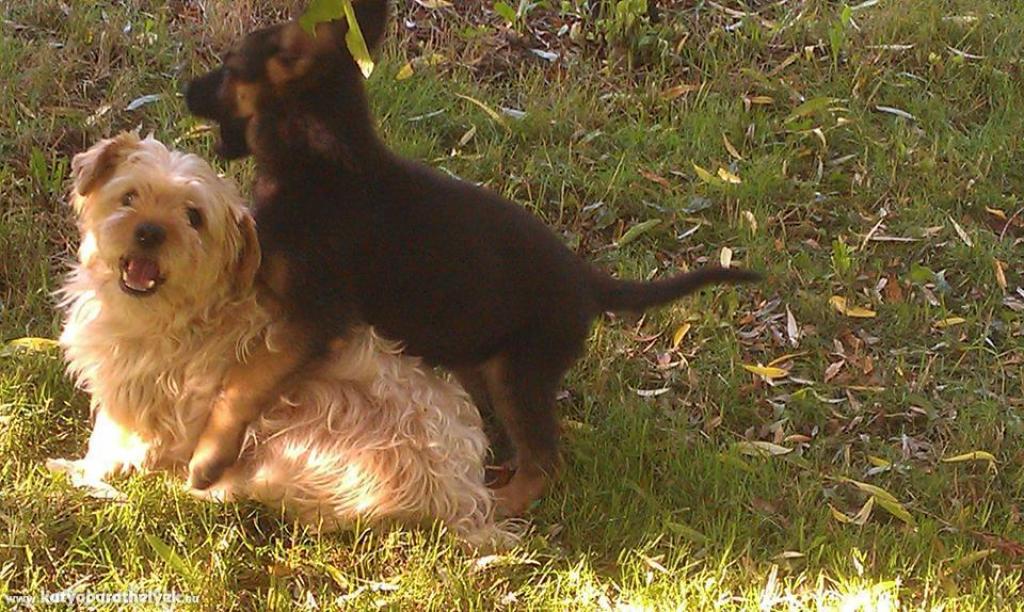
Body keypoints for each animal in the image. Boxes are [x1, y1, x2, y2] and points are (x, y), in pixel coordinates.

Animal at [48, 132, 508, 546]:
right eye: (129, 196)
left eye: (194, 216)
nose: (149, 232)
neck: (182, 312)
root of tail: (468, 503)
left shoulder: (151, 410)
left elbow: (113, 448)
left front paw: (81, 474)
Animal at [184, 0, 761, 516]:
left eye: (230, 67)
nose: (187, 90)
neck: (318, 158)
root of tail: (587, 280)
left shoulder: (313, 320)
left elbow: (244, 382)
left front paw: (209, 459)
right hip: (486, 361)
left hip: (519, 372)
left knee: (545, 460)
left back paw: (502, 502)